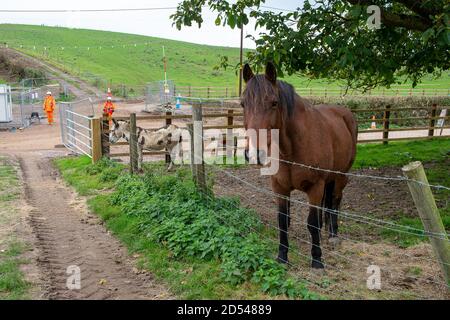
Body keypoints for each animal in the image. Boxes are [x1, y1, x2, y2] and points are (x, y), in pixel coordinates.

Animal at [241, 61, 356, 268]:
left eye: (274, 103)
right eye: (242, 104)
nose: (254, 153)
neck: (291, 149)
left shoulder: (315, 187)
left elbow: (311, 222)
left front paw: (317, 259)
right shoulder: (279, 187)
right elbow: (282, 220)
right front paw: (282, 256)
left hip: (341, 176)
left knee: (335, 200)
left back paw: (333, 234)